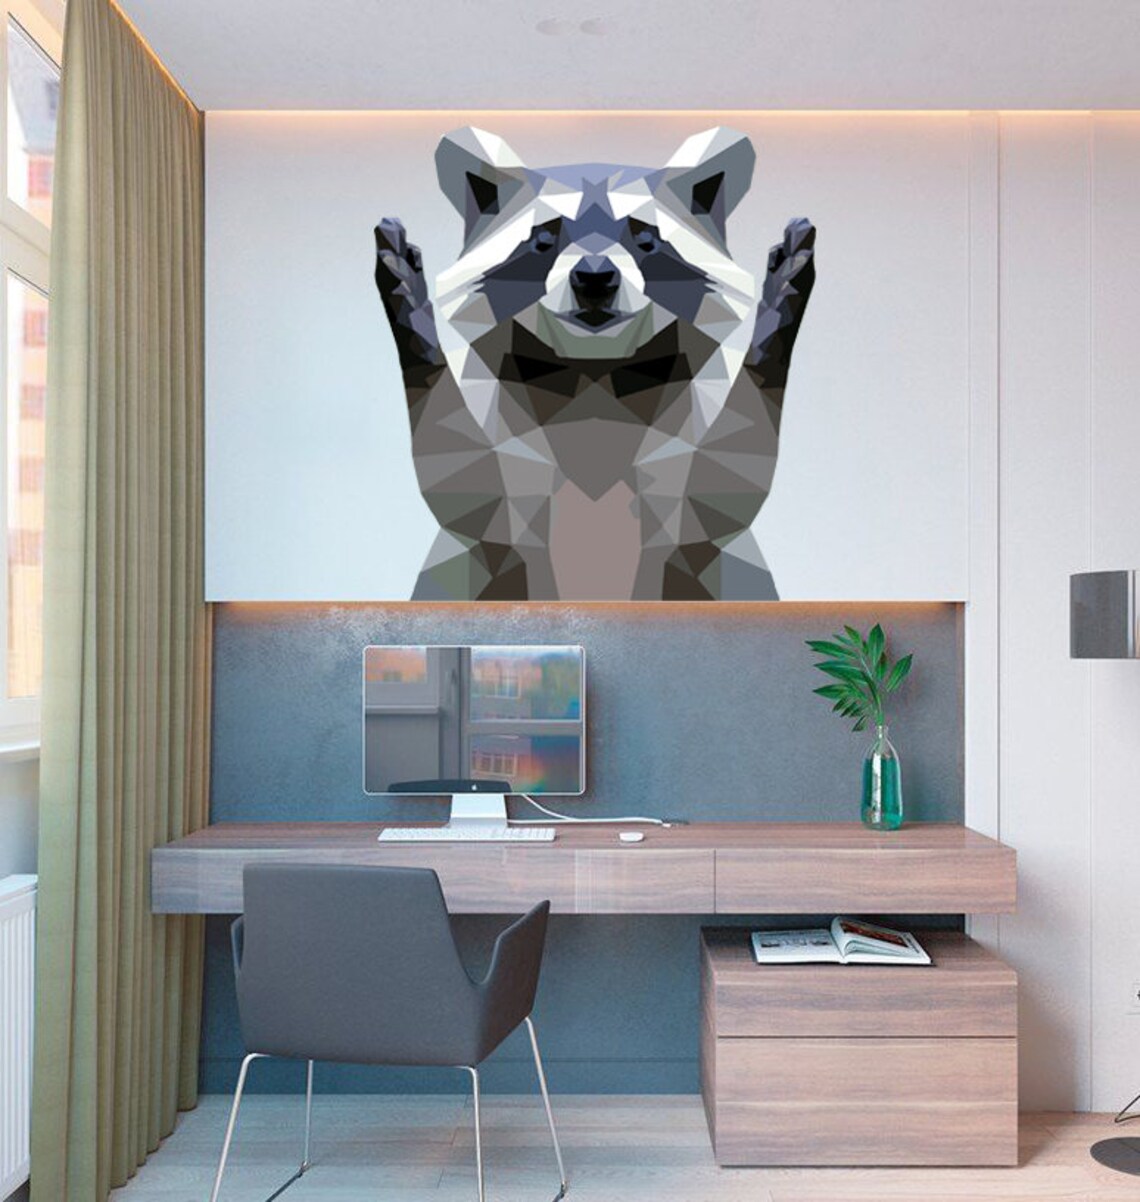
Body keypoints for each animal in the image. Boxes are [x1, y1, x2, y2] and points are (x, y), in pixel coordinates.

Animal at [374, 126, 815, 600]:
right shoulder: (501, 408)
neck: (594, 372)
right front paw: (414, 314)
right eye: (543, 240)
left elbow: (724, 474)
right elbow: (465, 473)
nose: (595, 278)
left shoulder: (687, 408)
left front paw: (776, 314)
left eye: (646, 240)